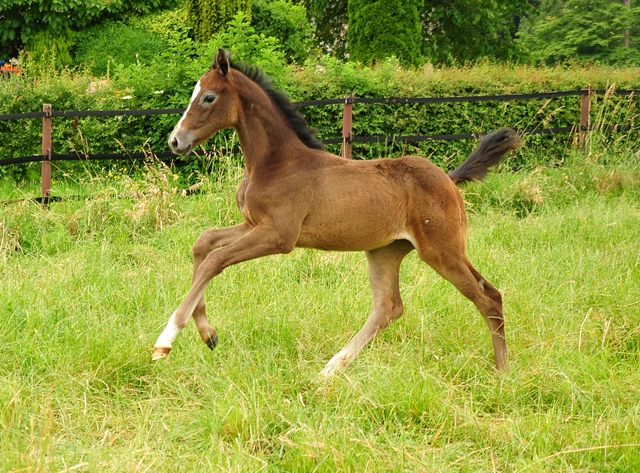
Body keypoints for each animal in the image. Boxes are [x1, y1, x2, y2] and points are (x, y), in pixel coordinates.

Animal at [152, 49, 524, 374]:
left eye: (208, 97)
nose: (175, 141)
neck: (276, 163)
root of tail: (448, 178)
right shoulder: (253, 224)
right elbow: (203, 244)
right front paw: (208, 334)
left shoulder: (279, 235)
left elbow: (214, 261)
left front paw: (166, 340)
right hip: (386, 251)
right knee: (387, 308)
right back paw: (329, 371)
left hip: (442, 250)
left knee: (489, 298)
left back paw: (503, 373)